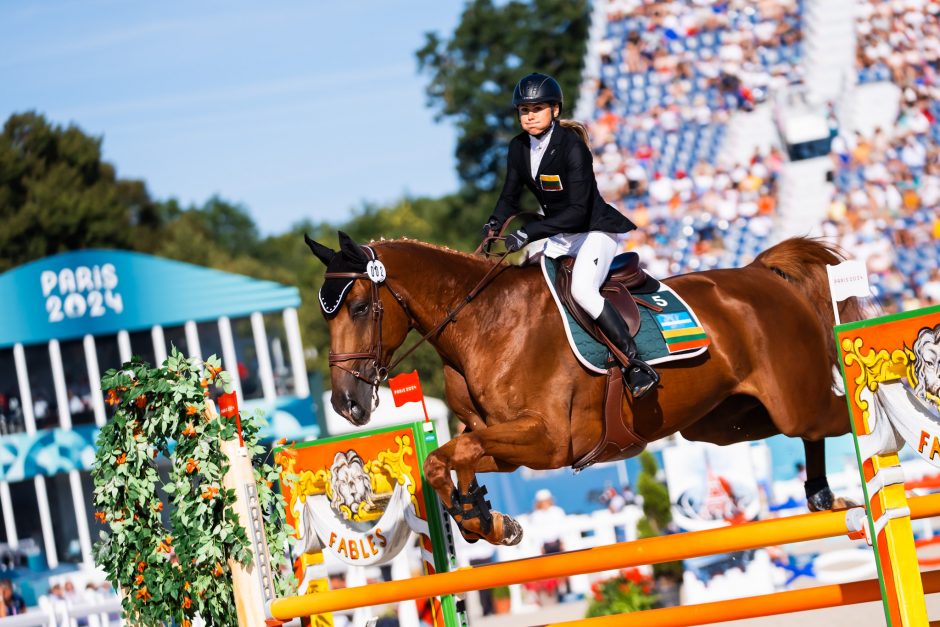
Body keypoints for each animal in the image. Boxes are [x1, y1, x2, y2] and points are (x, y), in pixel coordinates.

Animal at [304, 233, 864, 548]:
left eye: (359, 308)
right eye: (325, 315)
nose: (346, 405)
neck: (484, 325)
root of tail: (760, 273)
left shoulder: (549, 441)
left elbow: (447, 456)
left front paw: (485, 521)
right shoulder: (503, 441)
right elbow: (452, 456)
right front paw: (486, 521)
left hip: (796, 401)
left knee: (837, 417)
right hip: (727, 422)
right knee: (803, 431)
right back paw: (821, 494)